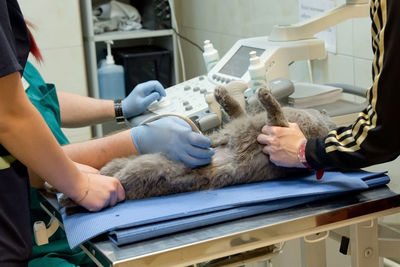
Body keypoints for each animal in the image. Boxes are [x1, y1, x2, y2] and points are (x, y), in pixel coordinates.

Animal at [97, 87, 338, 201]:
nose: (324, 113)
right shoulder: (245, 119)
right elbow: (237, 109)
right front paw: (221, 93)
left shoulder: (279, 127)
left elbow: (275, 111)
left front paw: (264, 94)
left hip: (142, 169)